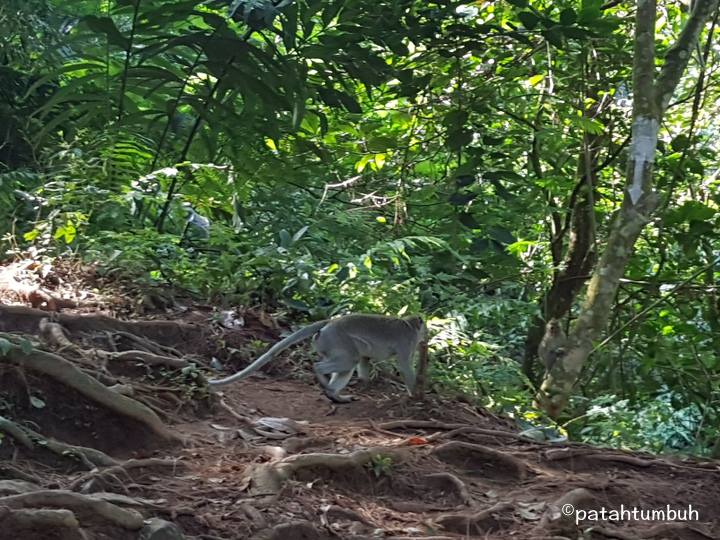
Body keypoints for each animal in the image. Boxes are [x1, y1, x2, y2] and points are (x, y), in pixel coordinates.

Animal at [207, 314, 428, 402]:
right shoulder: (406, 342)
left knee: (350, 362)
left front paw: (367, 382)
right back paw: (322, 377)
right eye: (425, 328)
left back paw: (334, 395)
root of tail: (328, 322)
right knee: (344, 361)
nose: (427, 336)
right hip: (336, 340)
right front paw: (414, 394)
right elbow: (404, 365)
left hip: (328, 344)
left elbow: (365, 360)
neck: (409, 325)